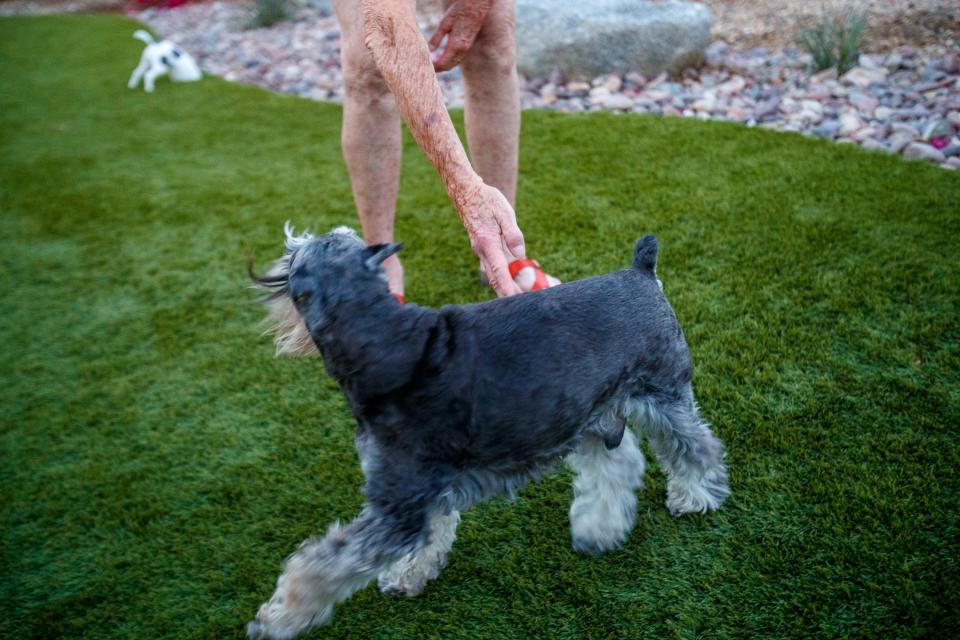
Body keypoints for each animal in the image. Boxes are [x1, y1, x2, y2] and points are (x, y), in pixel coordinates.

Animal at [248, 224, 728, 636]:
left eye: (295, 256)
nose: (283, 249)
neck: (388, 344)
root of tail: (641, 272)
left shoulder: (398, 503)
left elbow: (319, 567)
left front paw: (277, 618)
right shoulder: (425, 490)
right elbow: (431, 536)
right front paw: (407, 576)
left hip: (663, 395)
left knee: (696, 446)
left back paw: (693, 496)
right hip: (586, 413)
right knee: (619, 464)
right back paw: (599, 528)